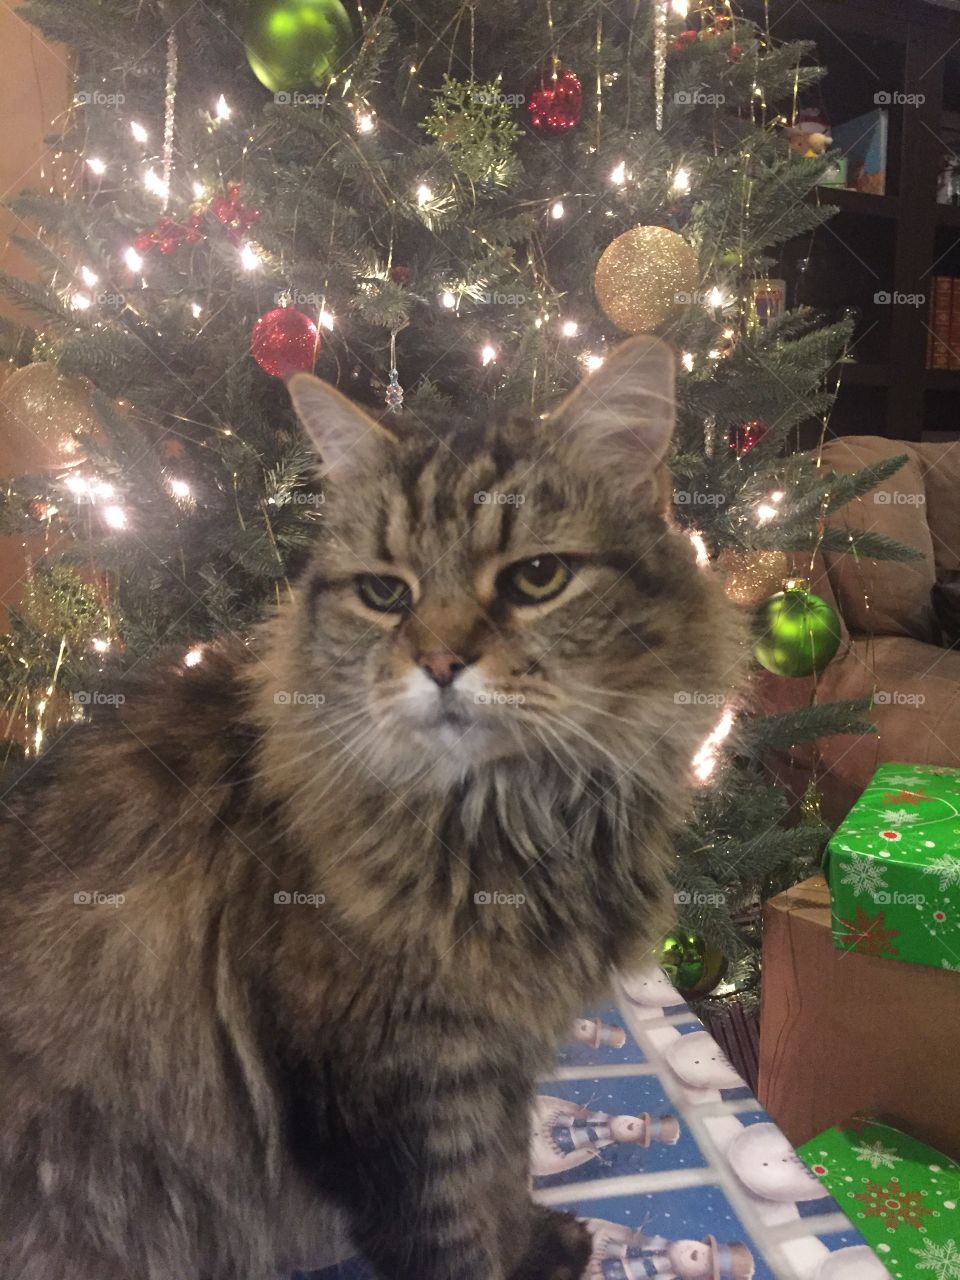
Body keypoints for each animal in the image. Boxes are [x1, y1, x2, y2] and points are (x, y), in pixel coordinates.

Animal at [0, 337, 742, 1280]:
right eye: (386, 594)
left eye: (538, 578)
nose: (440, 662)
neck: (513, 816)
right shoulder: (396, 1089)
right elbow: (456, 1230)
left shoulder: (490, 1063)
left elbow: (502, 1172)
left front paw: (536, 1243)